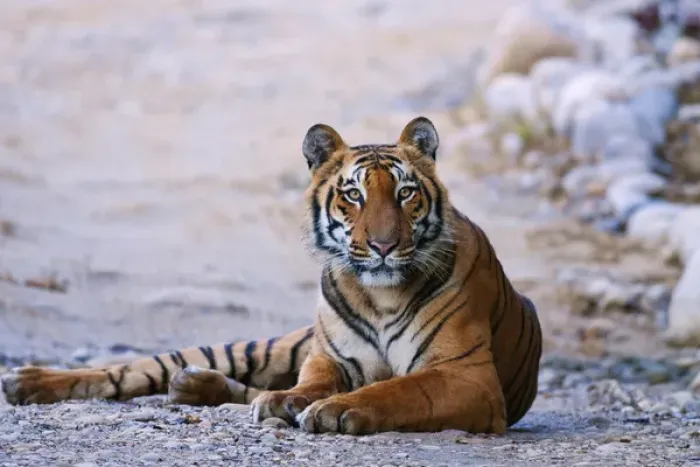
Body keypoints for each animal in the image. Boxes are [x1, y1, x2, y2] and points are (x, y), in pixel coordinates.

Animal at [1, 117, 542, 435]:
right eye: (354, 195)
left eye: (406, 193)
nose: (385, 246)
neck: (380, 295)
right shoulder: (328, 357)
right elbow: (312, 382)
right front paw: (296, 401)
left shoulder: (467, 376)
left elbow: (400, 389)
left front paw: (333, 410)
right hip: (262, 346)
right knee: (131, 370)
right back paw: (27, 381)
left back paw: (195, 388)